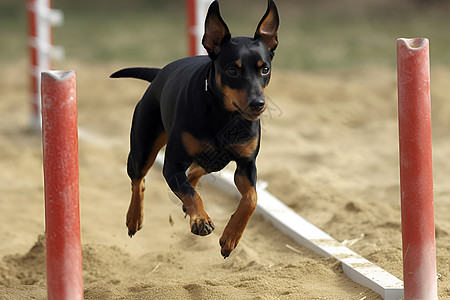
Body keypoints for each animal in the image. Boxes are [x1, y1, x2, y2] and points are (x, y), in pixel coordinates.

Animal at [110, 0, 278, 258]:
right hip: (142, 148)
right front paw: (200, 220)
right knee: (139, 179)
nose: (257, 103)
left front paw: (231, 237)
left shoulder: (246, 165)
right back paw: (134, 218)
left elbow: (251, 198)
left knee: (195, 172)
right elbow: (191, 193)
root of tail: (159, 73)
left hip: (214, 160)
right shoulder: (172, 165)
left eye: (265, 69)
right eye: (232, 70)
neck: (224, 115)